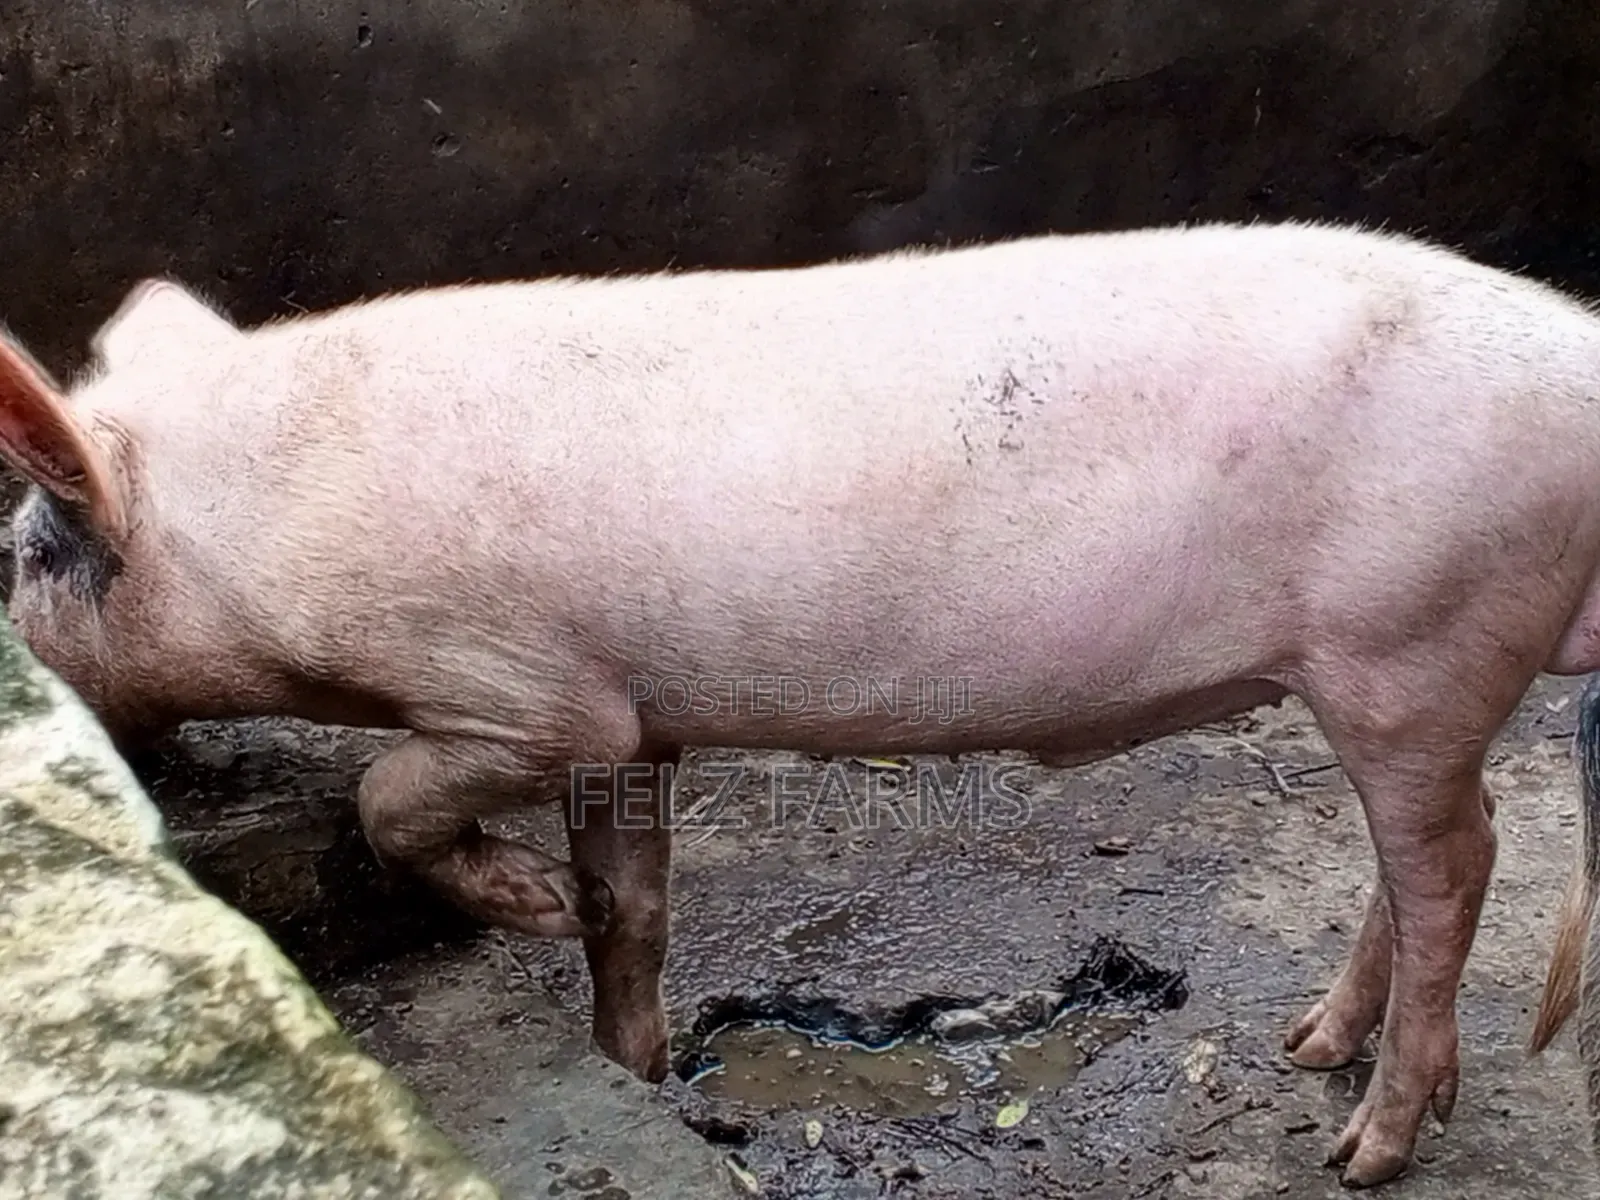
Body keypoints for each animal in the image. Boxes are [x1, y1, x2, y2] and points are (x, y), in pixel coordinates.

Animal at [6, 220, 1600, 1189]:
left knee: (1459, 863)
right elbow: (636, 908)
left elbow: (386, 794)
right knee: (1435, 849)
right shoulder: (632, 723)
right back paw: (1307, 1050)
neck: (255, 535)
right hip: (1402, 674)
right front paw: (628, 1054)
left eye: (22, 553)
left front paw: (527, 904)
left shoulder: (521, 691)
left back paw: (1363, 1149)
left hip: (1413, 642)